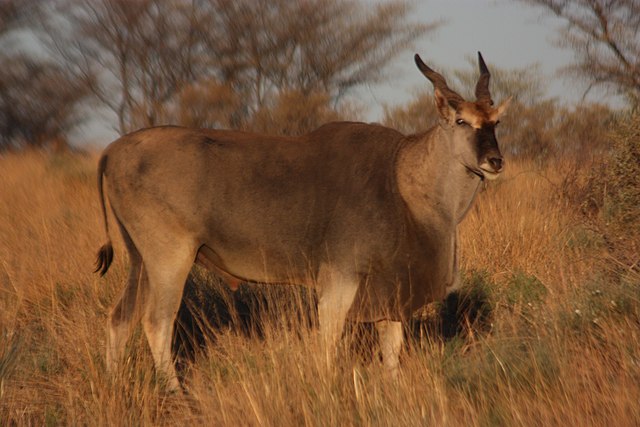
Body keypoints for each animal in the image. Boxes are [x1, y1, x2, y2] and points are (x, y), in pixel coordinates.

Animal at [94, 51, 510, 390]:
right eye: (461, 120)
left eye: (494, 122)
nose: (495, 162)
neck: (400, 175)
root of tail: (113, 150)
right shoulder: (339, 282)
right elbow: (328, 345)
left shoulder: (388, 293)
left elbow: (390, 351)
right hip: (170, 260)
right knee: (156, 322)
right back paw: (175, 393)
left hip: (141, 262)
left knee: (119, 319)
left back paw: (113, 384)